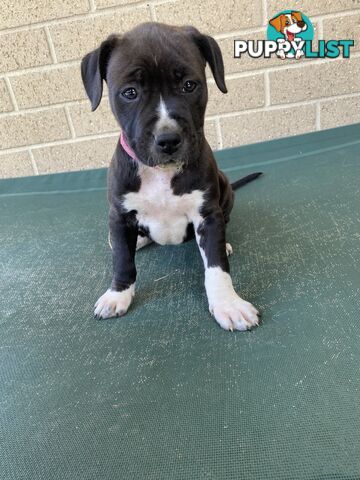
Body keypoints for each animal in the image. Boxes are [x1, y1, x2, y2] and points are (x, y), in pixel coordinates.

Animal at [81, 21, 262, 330]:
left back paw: (225, 242)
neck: (160, 174)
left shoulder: (207, 214)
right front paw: (117, 295)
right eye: (130, 92)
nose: (168, 140)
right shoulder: (119, 215)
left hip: (225, 187)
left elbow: (216, 266)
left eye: (189, 85)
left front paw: (228, 304)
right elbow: (122, 260)